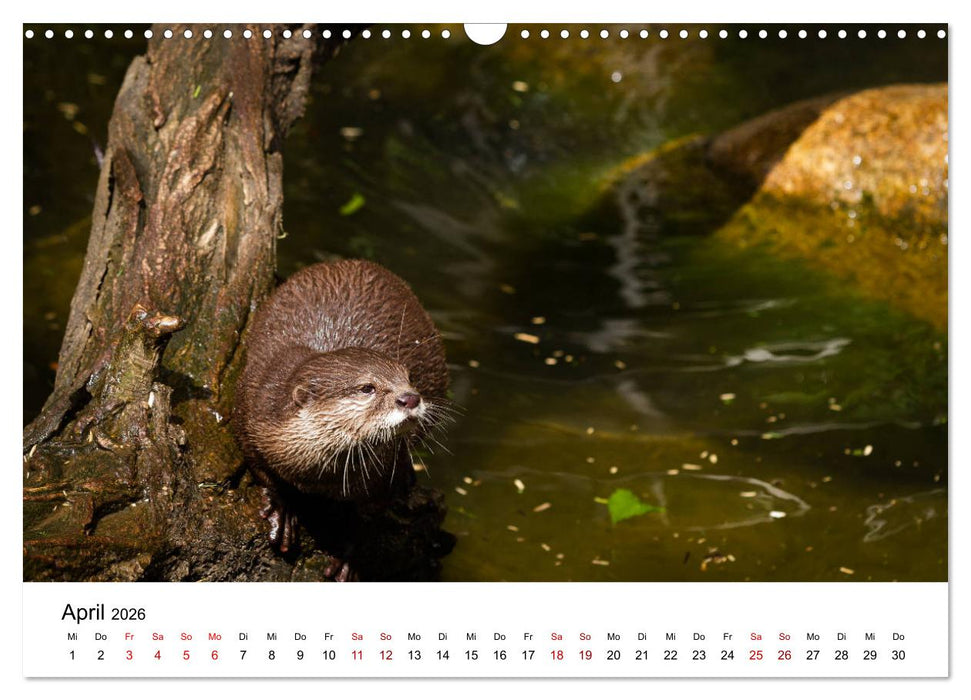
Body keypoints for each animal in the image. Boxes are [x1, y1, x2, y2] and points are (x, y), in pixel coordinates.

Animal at [234, 259, 450, 553]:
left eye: (409, 378)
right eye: (367, 388)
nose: (410, 398)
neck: (318, 475)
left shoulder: (386, 471)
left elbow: (370, 519)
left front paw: (349, 551)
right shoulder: (250, 411)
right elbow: (262, 470)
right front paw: (283, 510)